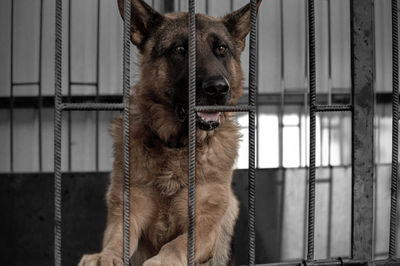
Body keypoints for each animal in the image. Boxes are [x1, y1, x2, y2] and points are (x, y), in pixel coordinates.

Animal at [79, 1, 260, 264]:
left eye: (222, 49)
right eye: (180, 49)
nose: (218, 88)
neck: (177, 147)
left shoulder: (204, 225)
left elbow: (177, 244)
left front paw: (161, 260)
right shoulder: (128, 208)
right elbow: (118, 237)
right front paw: (105, 255)